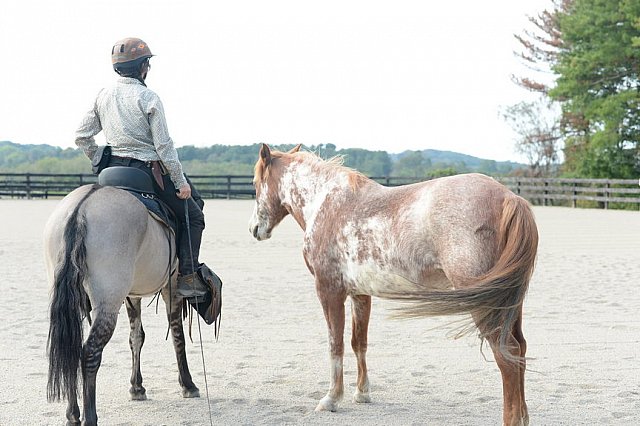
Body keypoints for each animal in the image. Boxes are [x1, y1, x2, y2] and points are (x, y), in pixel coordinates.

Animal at [44, 184, 199, 426]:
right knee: (89, 353)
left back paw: (72, 414)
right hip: (108, 303)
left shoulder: (132, 295)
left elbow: (136, 337)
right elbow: (178, 336)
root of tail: (81, 209)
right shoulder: (172, 286)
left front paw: (137, 387)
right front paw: (188, 384)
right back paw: (90, 417)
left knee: (71, 348)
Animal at [248, 145, 536, 424]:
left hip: (486, 305)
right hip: (510, 303)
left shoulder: (329, 291)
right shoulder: (360, 294)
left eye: (254, 183)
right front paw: (362, 393)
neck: (328, 204)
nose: (254, 229)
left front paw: (331, 399)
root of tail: (510, 198)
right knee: (520, 349)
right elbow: (358, 342)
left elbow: (335, 344)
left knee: (507, 353)